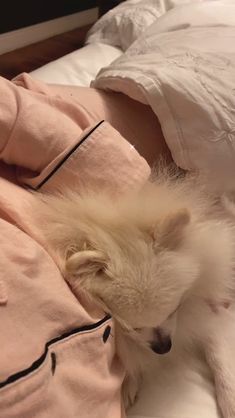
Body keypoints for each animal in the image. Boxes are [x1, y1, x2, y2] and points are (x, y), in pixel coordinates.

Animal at [32, 169, 235, 414]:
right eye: (132, 328)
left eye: (174, 310)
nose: (163, 347)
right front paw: (129, 383)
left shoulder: (209, 313)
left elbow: (219, 357)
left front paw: (230, 400)